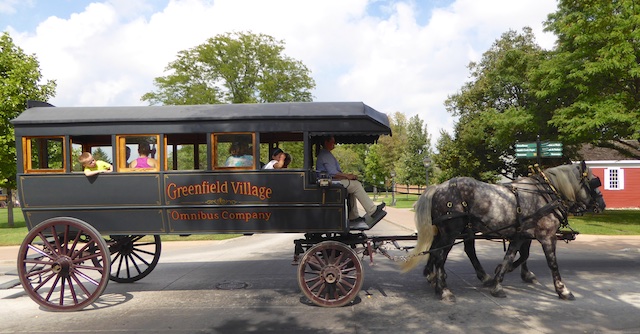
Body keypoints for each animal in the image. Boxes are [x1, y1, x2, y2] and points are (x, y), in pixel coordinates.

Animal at [400, 162, 604, 302]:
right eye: (594, 182)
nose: (602, 204)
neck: (546, 194)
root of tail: (438, 188)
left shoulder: (521, 235)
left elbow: (512, 257)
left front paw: (498, 281)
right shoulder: (547, 236)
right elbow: (552, 264)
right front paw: (563, 290)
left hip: (454, 231)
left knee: (450, 251)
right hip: (452, 232)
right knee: (440, 256)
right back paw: (443, 289)